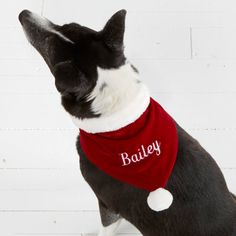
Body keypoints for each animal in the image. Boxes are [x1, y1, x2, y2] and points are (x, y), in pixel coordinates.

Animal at [18, 9, 236, 236]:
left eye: (50, 50)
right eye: (69, 24)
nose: (23, 13)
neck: (124, 126)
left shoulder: (107, 203)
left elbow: (106, 227)